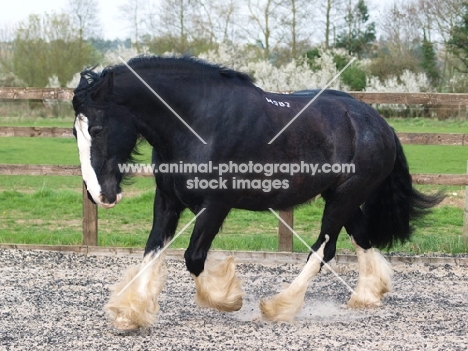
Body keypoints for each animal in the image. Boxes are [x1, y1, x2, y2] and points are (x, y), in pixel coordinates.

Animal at [71, 56, 440, 332]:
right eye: (74, 132)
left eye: (98, 129)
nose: (99, 195)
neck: (197, 123)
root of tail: (380, 124)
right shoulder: (168, 201)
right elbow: (152, 252)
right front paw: (131, 312)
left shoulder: (216, 204)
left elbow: (193, 258)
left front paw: (228, 298)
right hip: (340, 196)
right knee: (361, 236)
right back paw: (367, 295)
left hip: (343, 199)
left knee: (324, 249)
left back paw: (278, 306)